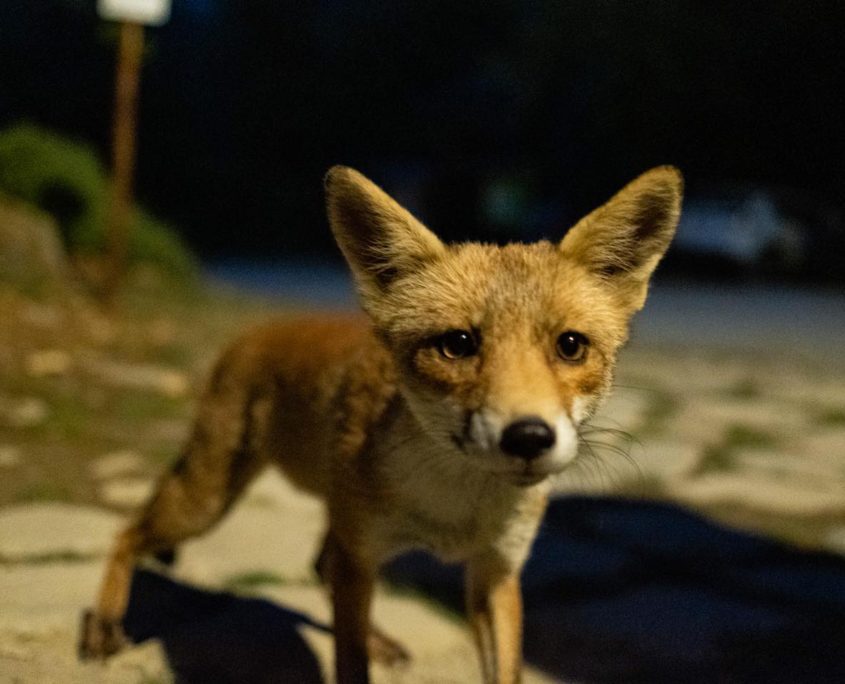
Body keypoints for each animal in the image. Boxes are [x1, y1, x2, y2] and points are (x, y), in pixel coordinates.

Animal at [79, 164, 682, 683]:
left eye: (570, 345)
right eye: (458, 344)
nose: (530, 437)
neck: (454, 511)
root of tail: (259, 329)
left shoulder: (497, 571)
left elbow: (504, 670)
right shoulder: (363, 553)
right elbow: (350, 667)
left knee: (318, 564)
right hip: (206, 500)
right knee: (126, 533)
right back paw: (104, 625)